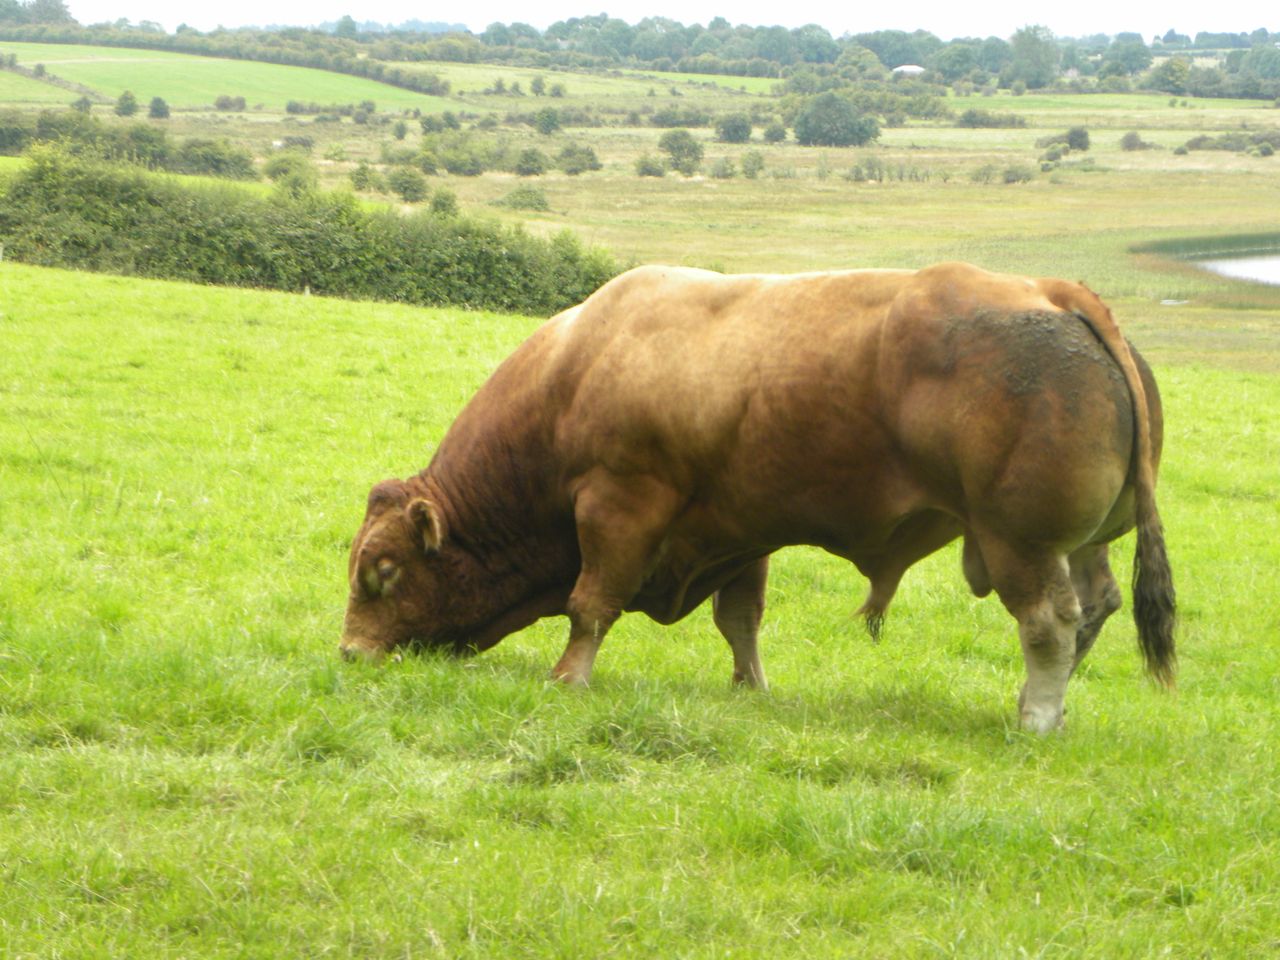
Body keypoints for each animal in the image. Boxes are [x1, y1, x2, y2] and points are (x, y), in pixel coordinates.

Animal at [341, 261, 1176, 733]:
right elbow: (739, 620)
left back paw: (1037, 716)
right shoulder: (738, 532)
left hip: (1020, 544)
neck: (577, 369)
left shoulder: (619, 508)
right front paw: (751, 688)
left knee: (1050, 622)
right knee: (1094, 606)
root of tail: (1057, 295)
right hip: (1083, 544)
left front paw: (569, 678)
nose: (350, 653)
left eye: (382, 570)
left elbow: (590, 604)